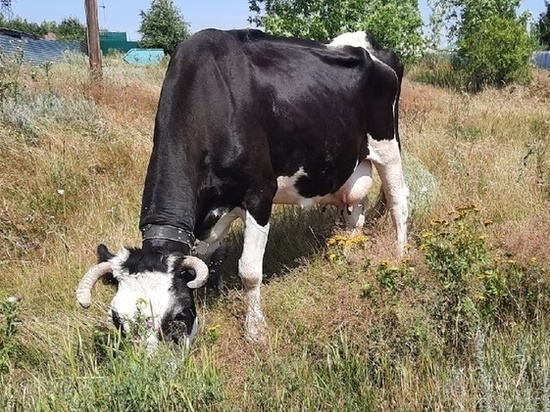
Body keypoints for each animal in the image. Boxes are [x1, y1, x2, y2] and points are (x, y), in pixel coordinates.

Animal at [75, 29, 408, 350]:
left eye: (179, 314)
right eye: (117, 320)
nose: (150, 368)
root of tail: (367, 43)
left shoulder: (259, 194)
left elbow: (249, 271)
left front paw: (255, 331)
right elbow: (207, 264)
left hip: (387, 146)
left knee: (398, 203)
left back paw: (400, 256)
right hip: (352, 164)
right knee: (355, 213)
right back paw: (346, 259)